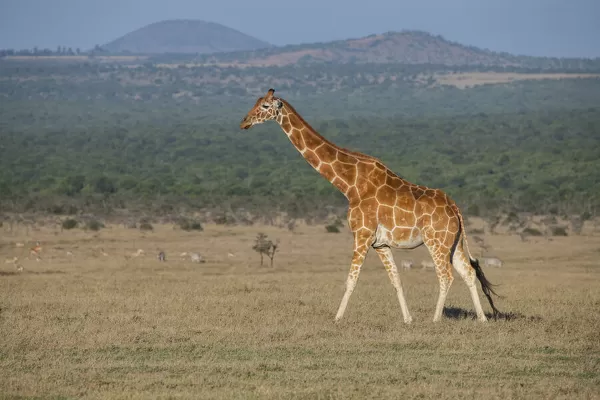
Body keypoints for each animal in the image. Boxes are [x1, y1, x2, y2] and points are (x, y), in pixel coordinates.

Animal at [239, 89, 502, 324]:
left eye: (265, 106)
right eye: (256, 101)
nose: (244, 122)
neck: (350, 185)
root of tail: (455, 208)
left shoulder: (362, 235)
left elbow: (351, 279)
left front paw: (337, 318)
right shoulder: (380, 244)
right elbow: (396, 280)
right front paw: (407, 319)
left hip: (435, 241)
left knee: (446, 275)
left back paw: (436, 319)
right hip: (453, 242)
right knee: (468, 272)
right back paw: (482, 319)